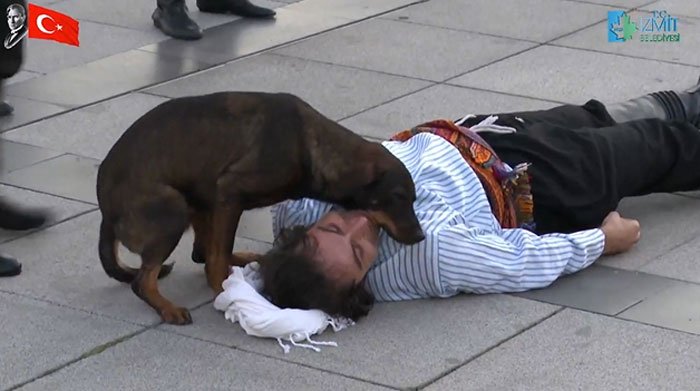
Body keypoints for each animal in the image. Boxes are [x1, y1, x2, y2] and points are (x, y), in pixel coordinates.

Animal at [95, 91, 424, 324]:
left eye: (413, 199)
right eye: (398, 197)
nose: (420, 237)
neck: (310, 145)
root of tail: (106, 215)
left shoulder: (219, 198)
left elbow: (215, 252)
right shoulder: (229, 191)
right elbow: (216, 262)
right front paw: (223, 290)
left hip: (197, 197)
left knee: (200, 250)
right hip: (173, 210)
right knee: (144, 281)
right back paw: (168, 308)